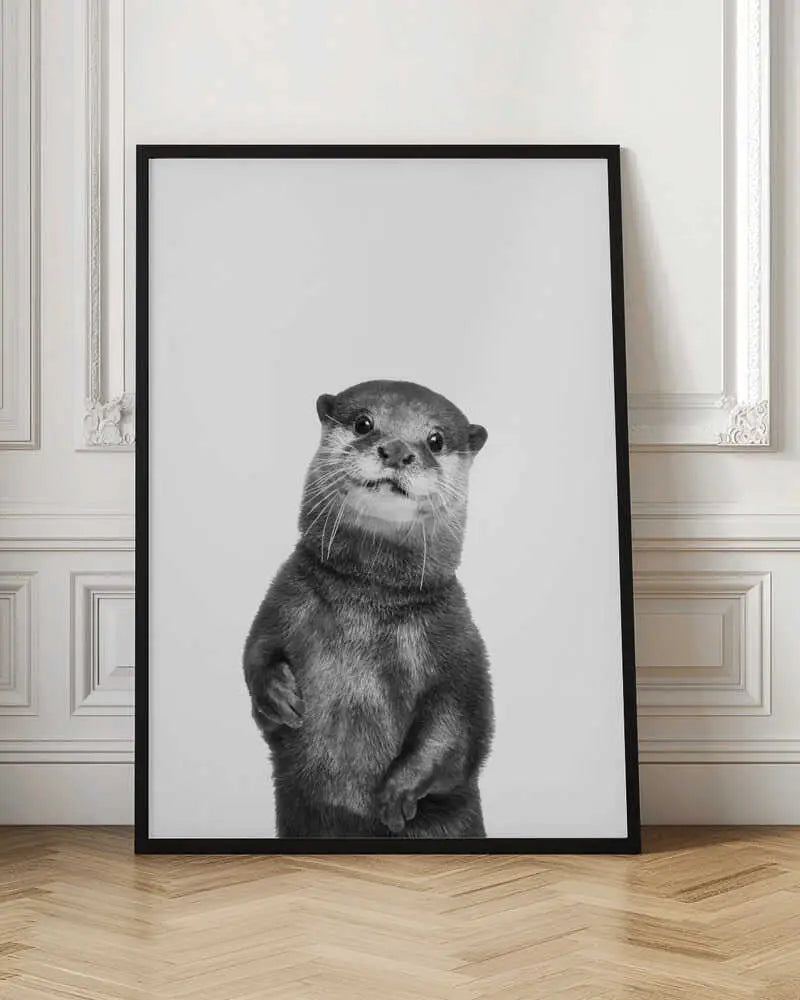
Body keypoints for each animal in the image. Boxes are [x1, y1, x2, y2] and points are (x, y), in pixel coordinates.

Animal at [243, 379, 493, 838]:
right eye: (363, 423)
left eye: (435, 439)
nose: (396, 450)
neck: (369, 601)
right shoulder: (283, 599)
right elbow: (256, 652)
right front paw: (278, 696)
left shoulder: (459, 642)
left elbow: (459, 726)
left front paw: (398, 792)